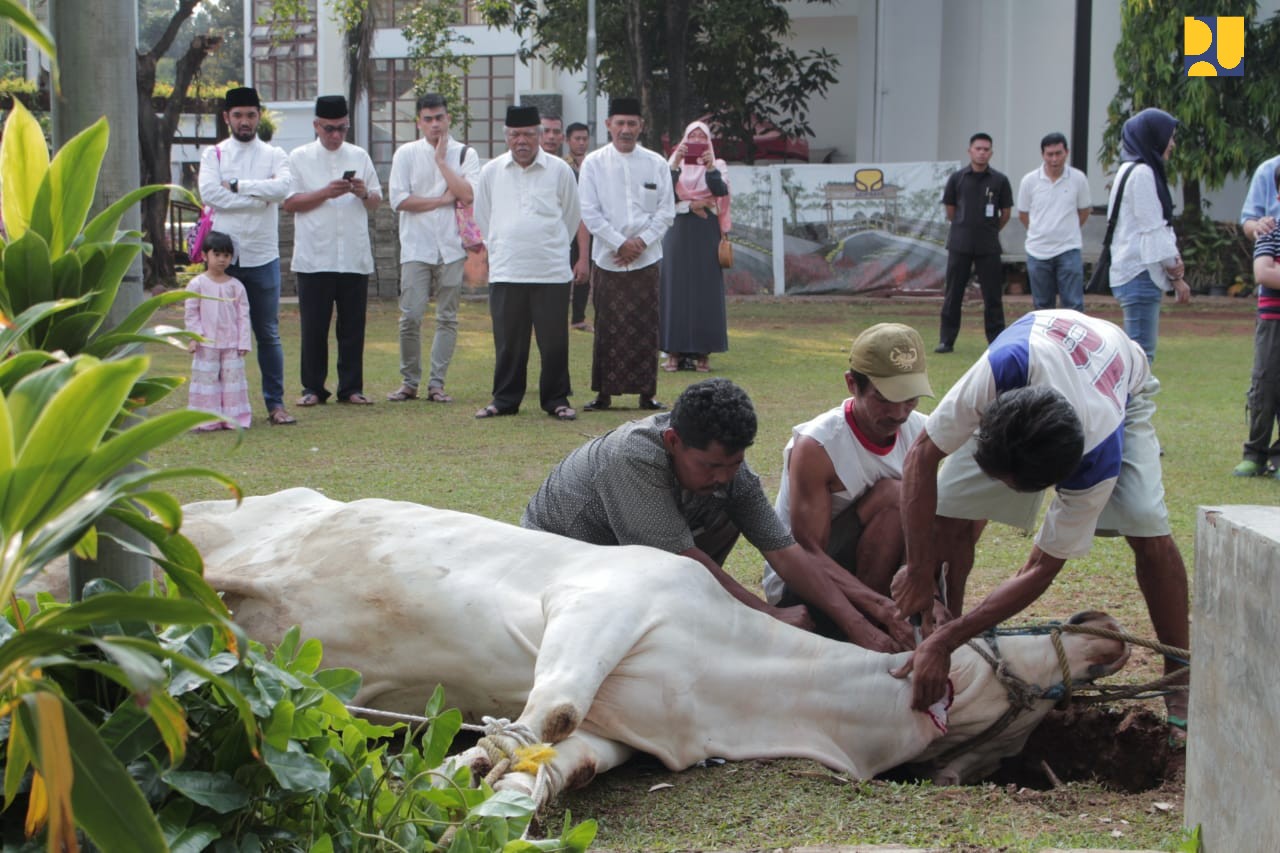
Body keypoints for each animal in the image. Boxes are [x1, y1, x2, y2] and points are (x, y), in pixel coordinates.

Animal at [183, 489, 1131, 799]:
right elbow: (543, 716)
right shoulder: (602, 601)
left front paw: (457, 797)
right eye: (985, 637)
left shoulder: (621, 736)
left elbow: (544, 760)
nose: (1105, 627)